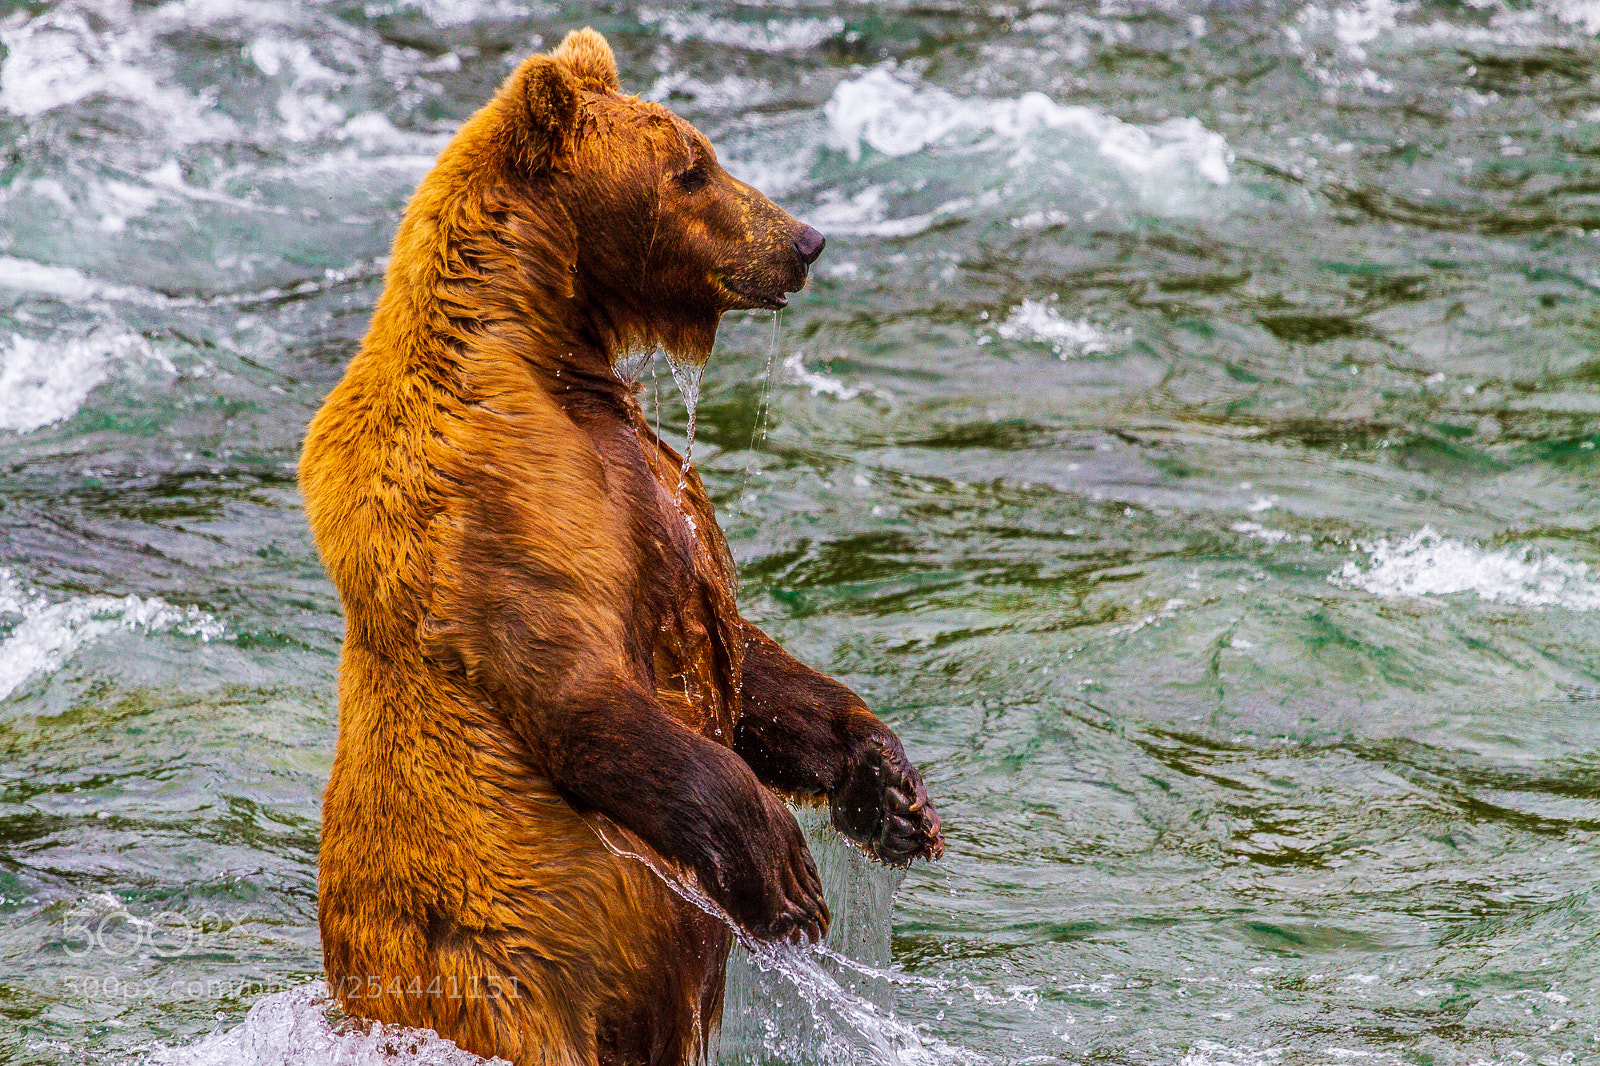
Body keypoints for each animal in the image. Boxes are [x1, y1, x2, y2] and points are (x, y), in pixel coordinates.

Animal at [298, 27, 944, 1066]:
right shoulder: (495, 500)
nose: (806, 240)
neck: (551, 346)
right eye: (693, 169)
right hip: (501, 974)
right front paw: (787, 873)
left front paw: (886, 786)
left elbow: (748, 664)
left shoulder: (644, 481)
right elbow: (578, 687)